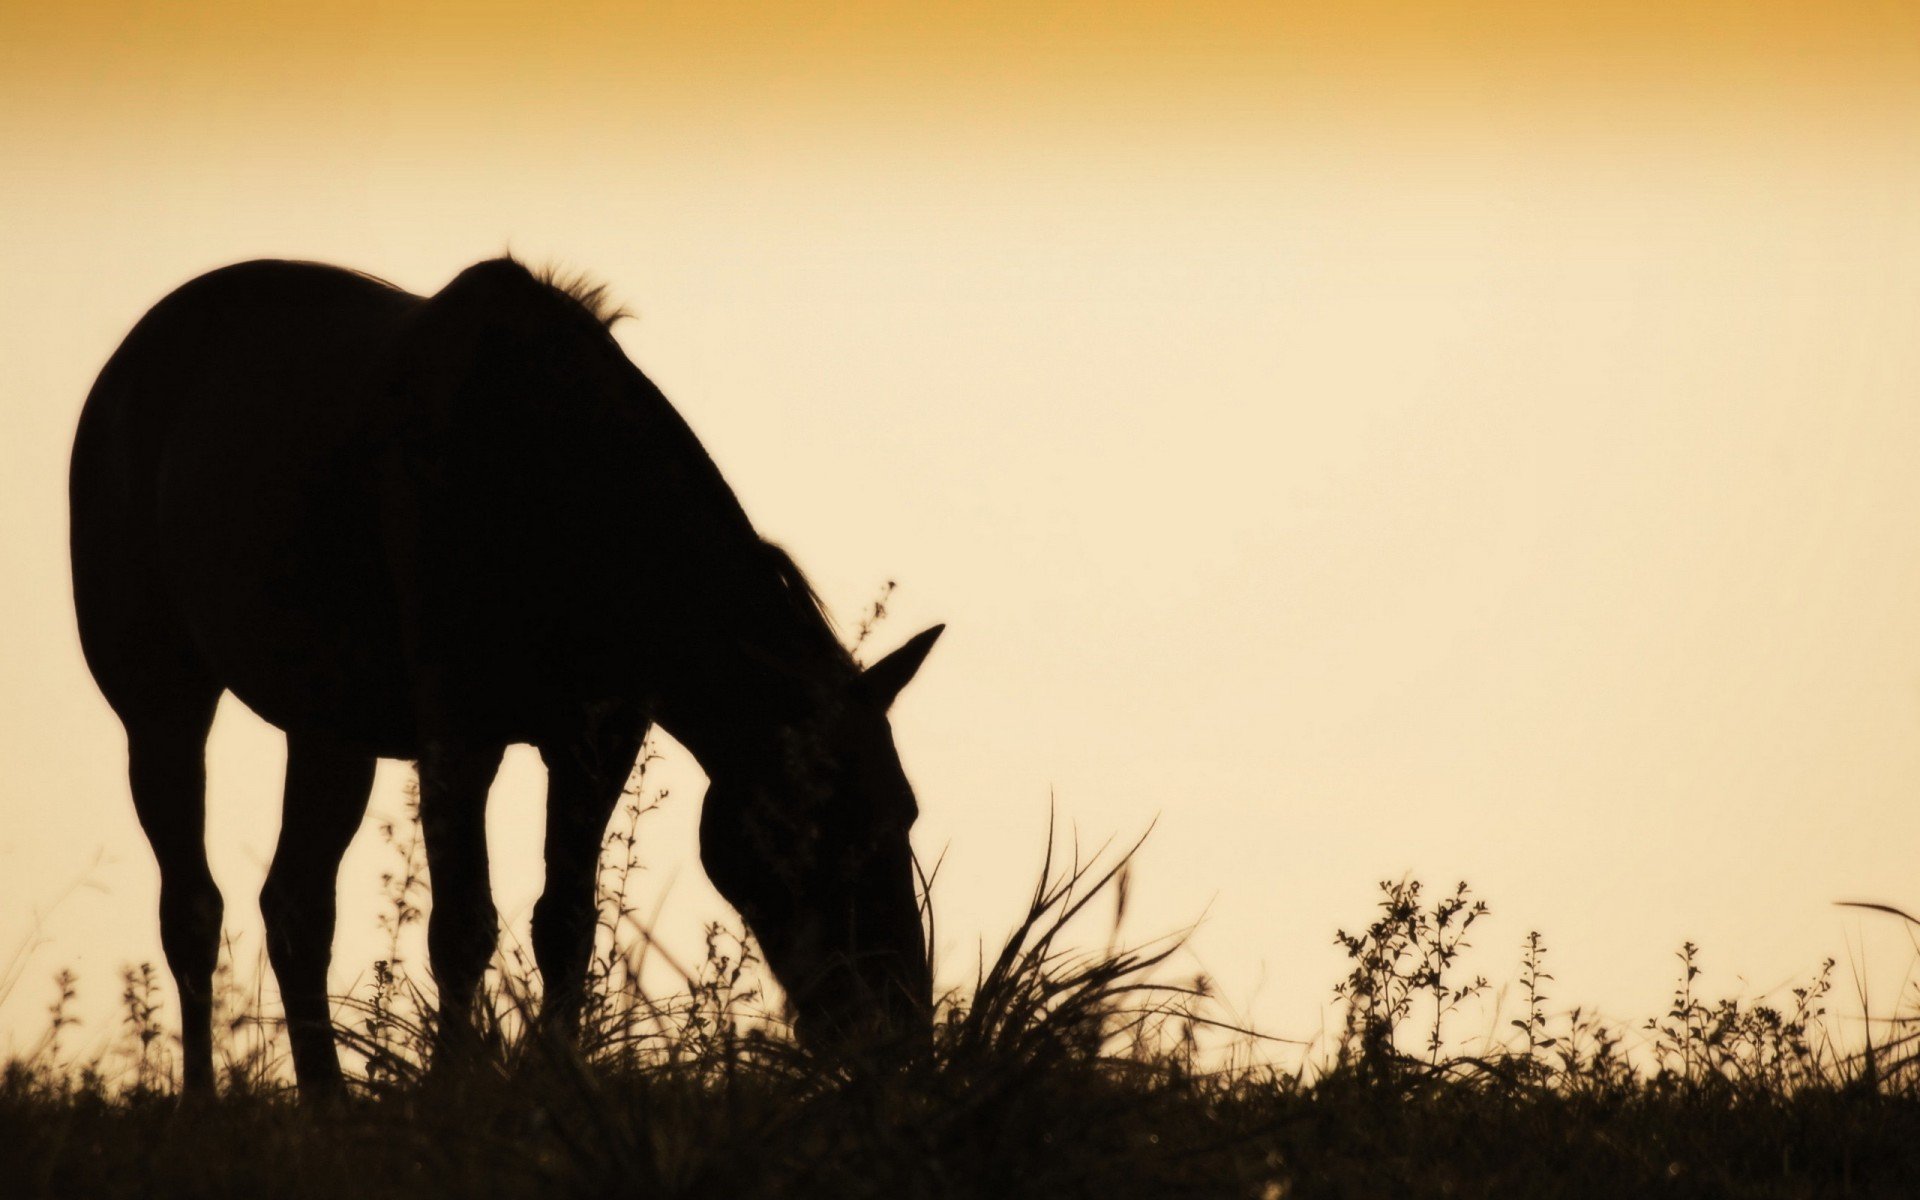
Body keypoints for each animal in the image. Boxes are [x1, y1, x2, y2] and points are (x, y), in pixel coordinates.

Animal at [71, 255, 940, 1098]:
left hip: (329, 732)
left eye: (905, 811)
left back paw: (327, 1104)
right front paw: (453, 1092)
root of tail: (122, 371)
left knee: (296, 907)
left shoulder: (596, 738)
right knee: (192, 907)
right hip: (161, 703)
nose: (897, 1025)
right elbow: (461, 927)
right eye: (822, 824)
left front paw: (560, 1078)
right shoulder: (459, 733)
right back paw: (202, 1103)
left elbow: (565, 922)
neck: (553, 484)